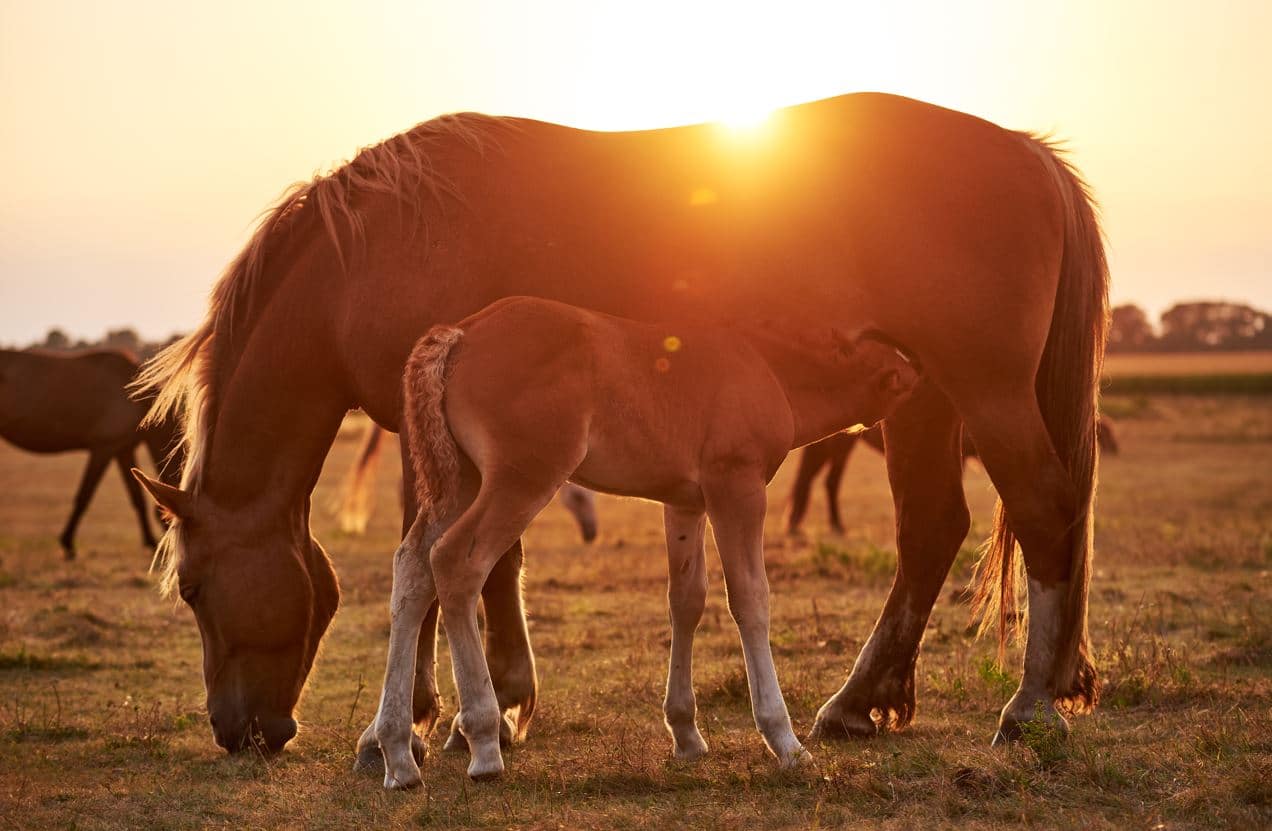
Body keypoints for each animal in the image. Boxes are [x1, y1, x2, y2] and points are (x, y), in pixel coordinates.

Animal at [0, 346, 184, 554]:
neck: (135, 399)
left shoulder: (123, 450)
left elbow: (136, 496)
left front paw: (149, 541)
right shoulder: (103, 449)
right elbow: (84, 496)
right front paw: (67, 543)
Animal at [368, 296, 915, 783]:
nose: (914, 375)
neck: (769, 368)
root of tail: (461, 334)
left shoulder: (686, 502)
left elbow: (687, 601)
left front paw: (687, 735)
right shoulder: (737, 487)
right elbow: (750, 600)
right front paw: (786, 742)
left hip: (463, 479)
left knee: (413, 568)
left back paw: (397, 755)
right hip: (522, 478)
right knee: (457, 563)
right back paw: (482, 744)